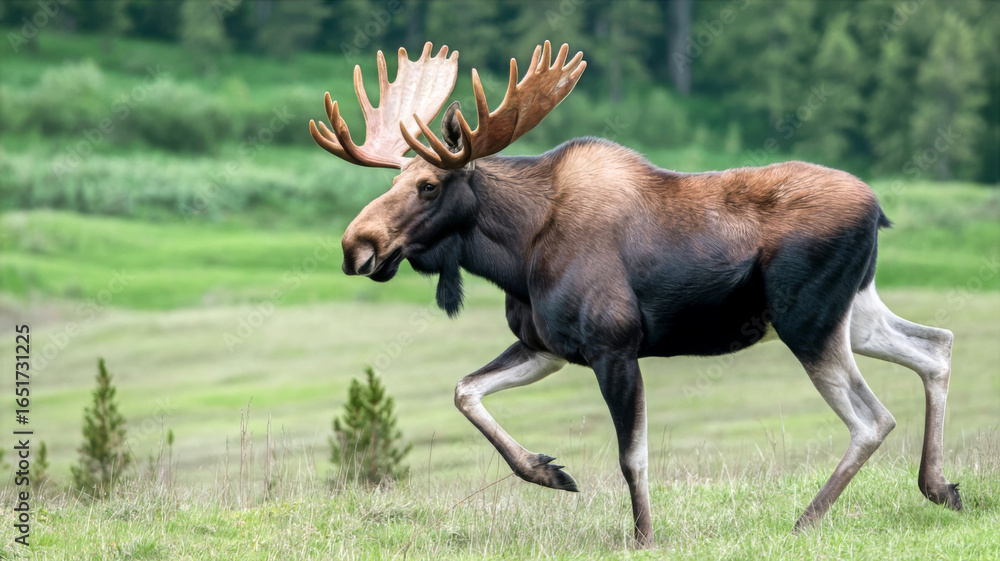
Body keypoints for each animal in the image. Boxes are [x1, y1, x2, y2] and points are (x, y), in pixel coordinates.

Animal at [310, 41, 962, 546]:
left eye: (427, 184)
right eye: (395, 179)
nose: (355, 245)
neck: (516, 254)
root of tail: (877, 211)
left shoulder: (614, 346)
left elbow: (632, 455)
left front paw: (645, 536)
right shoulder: (547, 346)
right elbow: (465, 390)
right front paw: (548, 472)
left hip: (809, 320)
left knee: (873, 417)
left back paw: (807, 519)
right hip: (852, 312)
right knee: (935, 344)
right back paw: (940, 487)